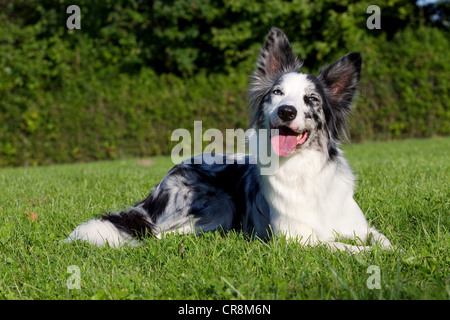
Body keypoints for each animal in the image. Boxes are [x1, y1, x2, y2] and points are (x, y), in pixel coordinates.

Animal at [65, 26, 392, 252]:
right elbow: (345, 247)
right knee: (158, 234)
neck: (302, 168)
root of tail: (159, 185)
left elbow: (383, 241)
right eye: (277, 93)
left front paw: (394, 252)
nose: (286, 111)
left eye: (311, 99)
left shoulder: (358, 225)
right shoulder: (295, 238)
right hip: (218, 204)